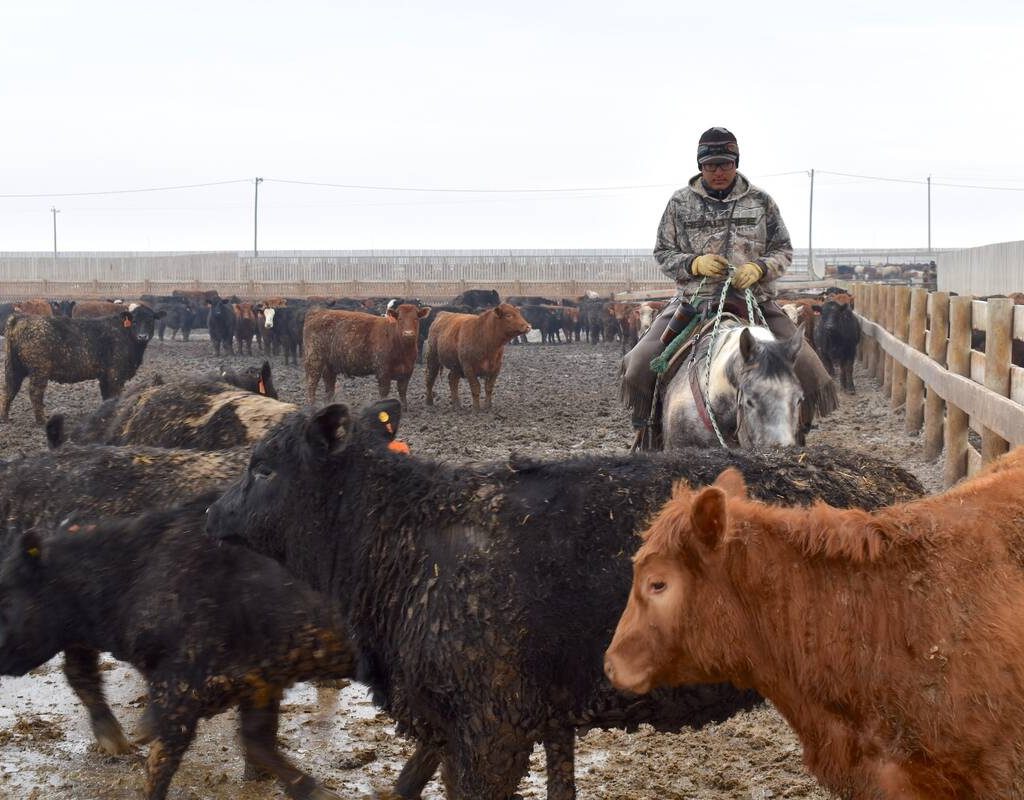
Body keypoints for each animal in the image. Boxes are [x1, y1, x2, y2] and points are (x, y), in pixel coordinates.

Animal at [0, 500, 356, 800]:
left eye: (6, 591)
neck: (134, 571)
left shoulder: (180, 691)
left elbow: (161, 764)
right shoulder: (259, 681)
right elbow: (258, 742)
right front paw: (314, 790)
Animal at [1, 305, 163, 425]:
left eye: (151, 321)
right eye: (134, 321)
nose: (142, 336)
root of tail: (22, 318)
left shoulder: (105, 376)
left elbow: (107, 397)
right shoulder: (115, 374)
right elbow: (114, 395)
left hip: (13, 367)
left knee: (8, 390)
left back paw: (5, 418)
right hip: (39, 370)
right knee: (35, 393)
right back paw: (42, 420)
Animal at [205, 399, 923, 800]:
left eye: (264, 468)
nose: (212, 514)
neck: (408, 534)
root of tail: (901, 479)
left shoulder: (490, 727)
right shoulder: (481, 719)